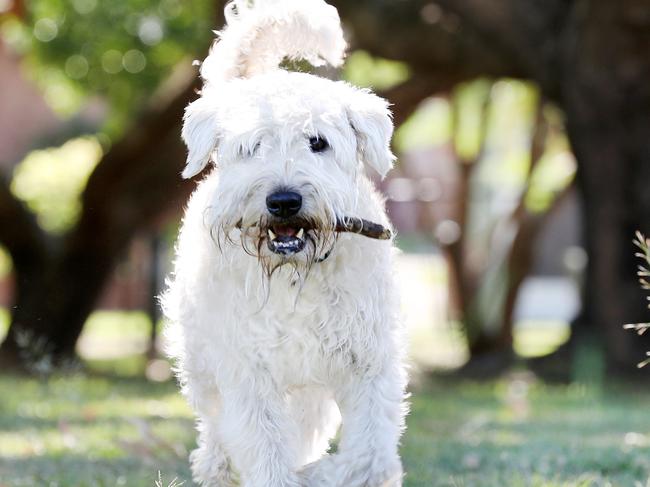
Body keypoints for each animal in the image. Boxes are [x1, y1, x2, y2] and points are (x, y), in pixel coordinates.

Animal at [161, 1, 404, 486]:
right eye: (252, 146)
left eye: (318, 142)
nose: (284, 201)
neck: (295, 277)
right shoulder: (249, 373)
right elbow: (265, 450)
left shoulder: (369, 364)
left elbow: (369, 456)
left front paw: (316, 475)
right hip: (202, 363)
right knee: (215, 426)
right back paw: (216, 467)